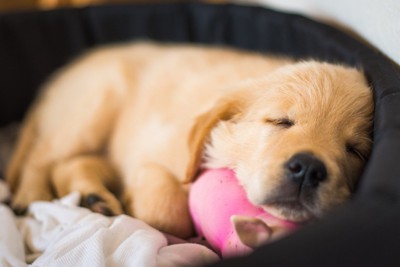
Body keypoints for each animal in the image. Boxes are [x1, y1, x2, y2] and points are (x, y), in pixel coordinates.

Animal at [4, 43, 374, 240]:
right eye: (280, 121)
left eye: (354, 150)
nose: (308, 169)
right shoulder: (152, 149)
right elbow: (169, 213)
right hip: (94, 106)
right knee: (43, 155)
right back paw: (32, 194)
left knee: (72, 162)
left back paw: (97, 199)